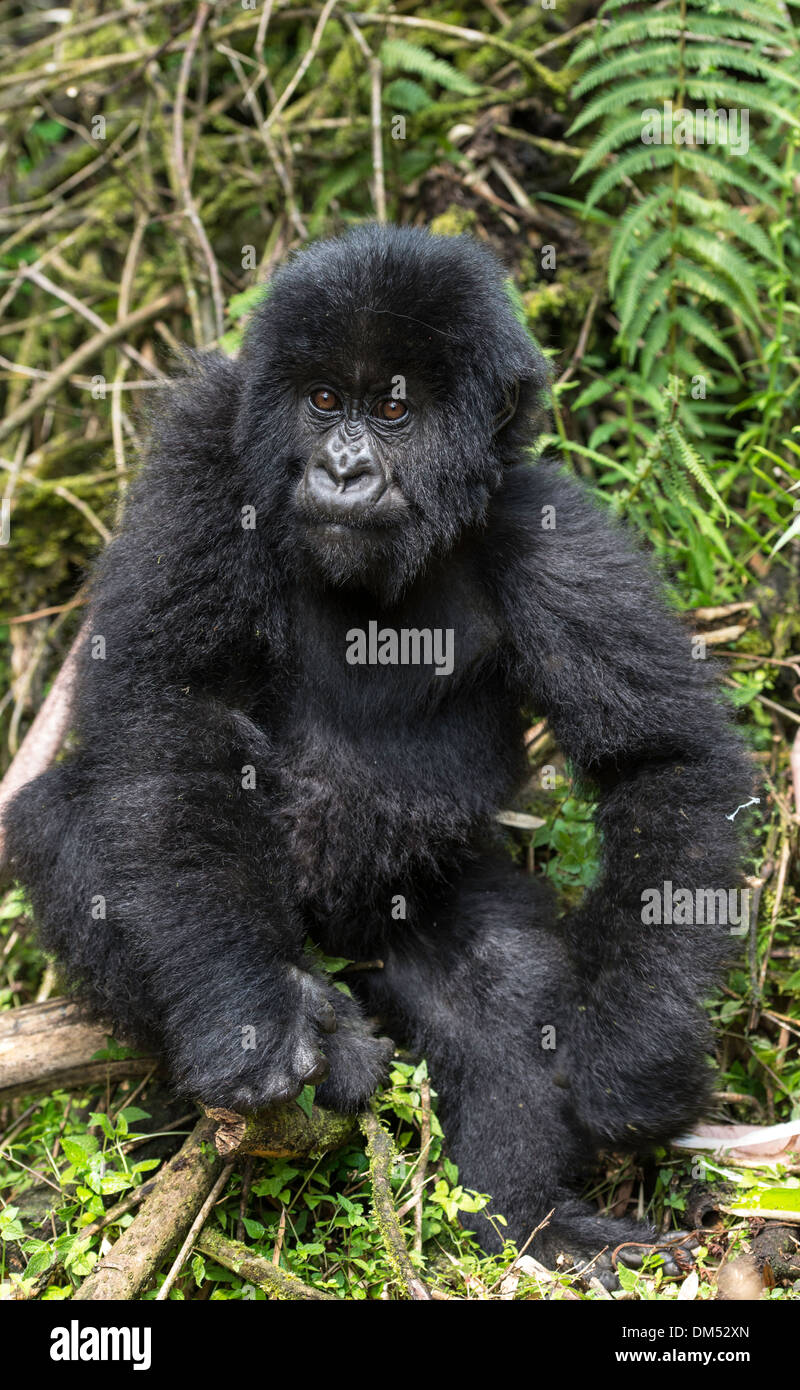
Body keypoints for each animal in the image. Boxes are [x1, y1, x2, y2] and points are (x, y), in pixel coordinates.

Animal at [3, 227, 750, 1278]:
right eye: (324, 401)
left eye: (394, 409)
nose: (345, 470)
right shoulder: (205, 456)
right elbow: (171, 711)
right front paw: (253, 1022)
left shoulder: (548, 529)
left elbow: (661, 760)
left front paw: (632, 1061)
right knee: (78, 823)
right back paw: (310, 1026)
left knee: (499, 982)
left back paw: (529, 1223)